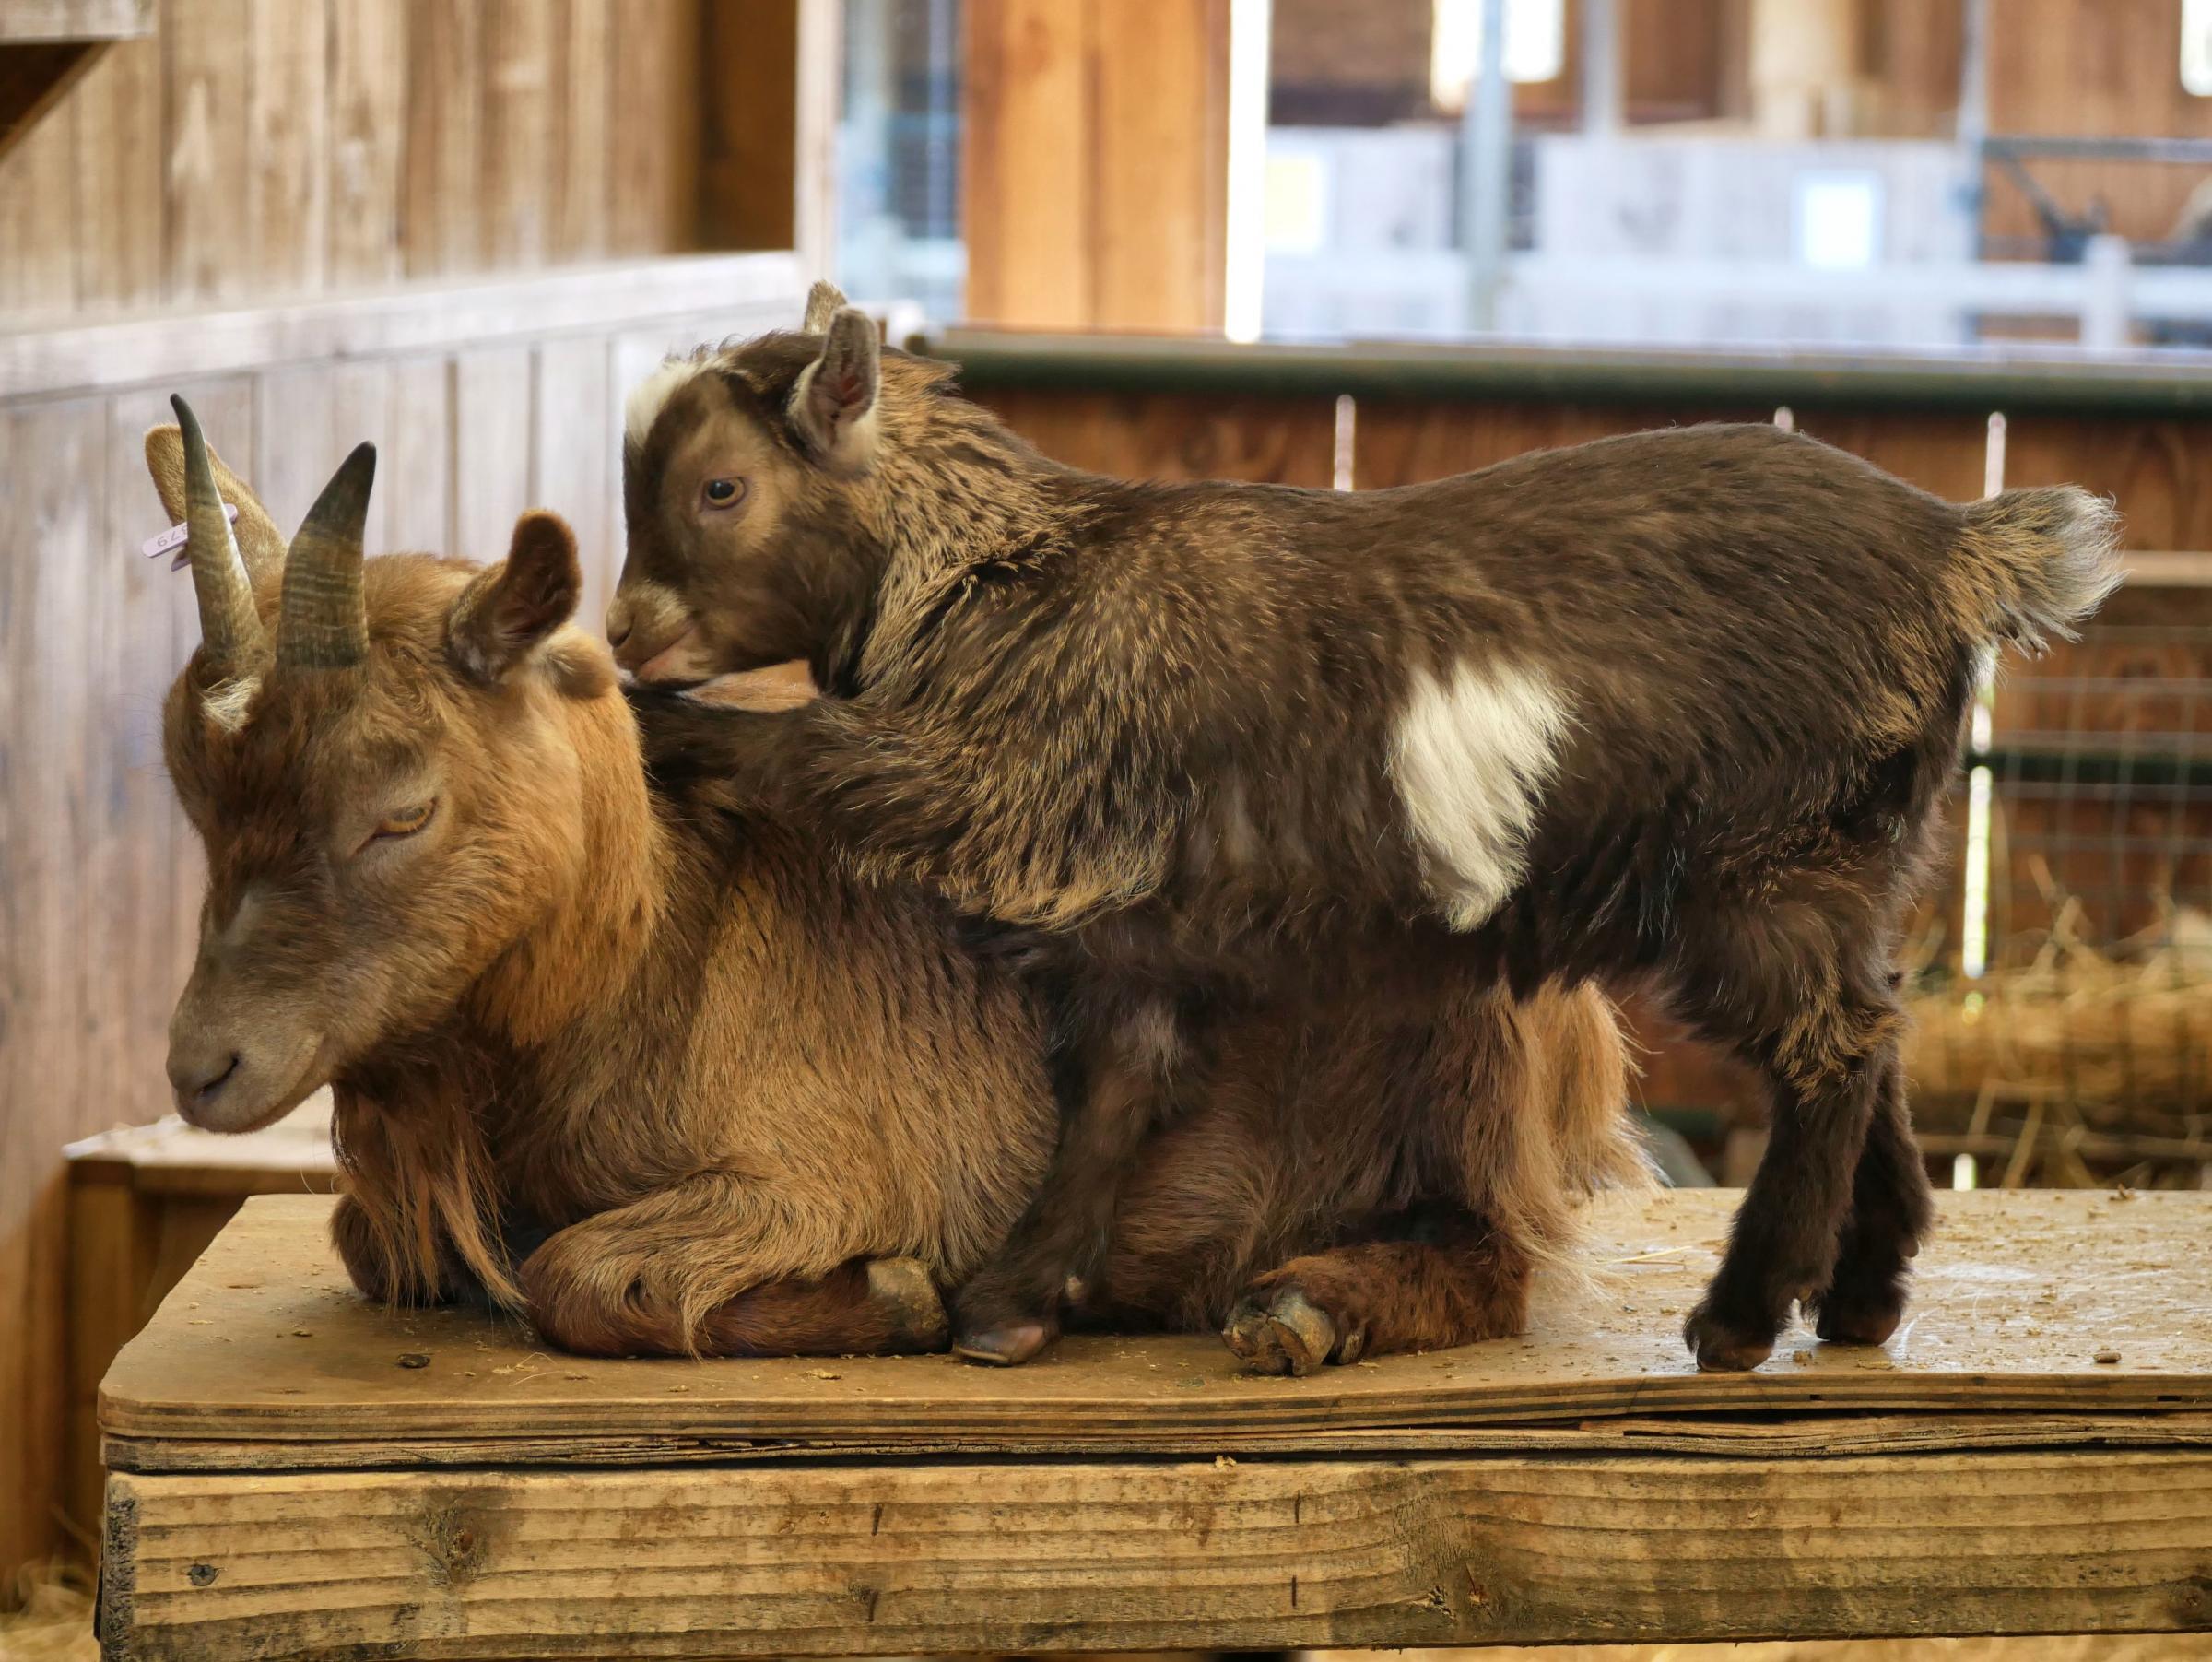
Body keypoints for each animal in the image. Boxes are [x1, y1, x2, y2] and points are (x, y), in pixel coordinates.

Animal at [142, 400, 1645, 1381]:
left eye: (402, 808)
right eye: (195, 791)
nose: (207, 1067)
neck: (644, 950)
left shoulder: (819, 1168)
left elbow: (578, 1276)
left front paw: (902, 1295)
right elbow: (371, 1240)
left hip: (1468, 1065)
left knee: (1497, 1252)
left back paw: (1296, 1307)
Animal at [615, 289, 2114, 1381]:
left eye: (720, 489)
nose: (628, 630)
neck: (1008, 579)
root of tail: (1956, 548)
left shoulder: (1010, 793)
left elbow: (815, 753)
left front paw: (665, 727)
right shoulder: (1134, 930)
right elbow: (1117, 1097)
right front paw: (1019, 1302)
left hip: (1766, 863)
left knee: (1832, 1050)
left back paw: (1745, 1314)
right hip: (1860, 854)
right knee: (1882, 1028)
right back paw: (1865, 1292)